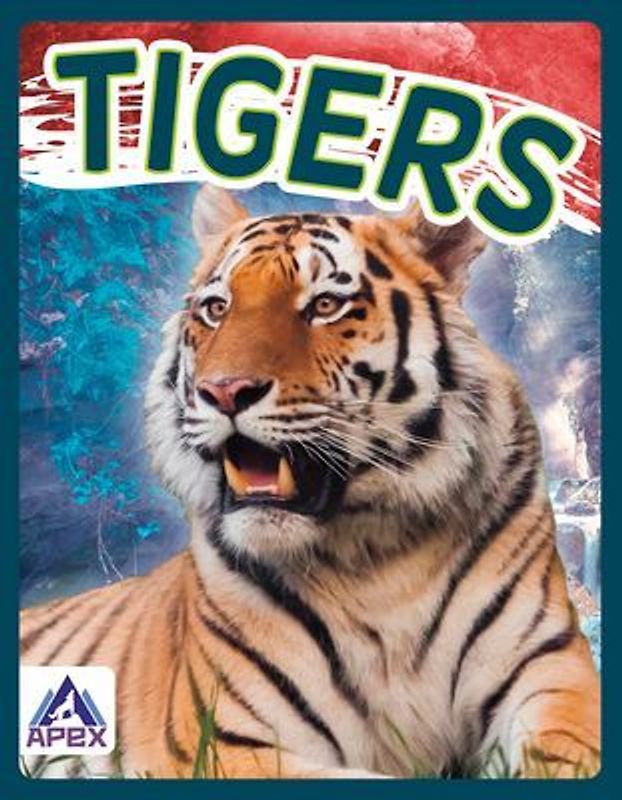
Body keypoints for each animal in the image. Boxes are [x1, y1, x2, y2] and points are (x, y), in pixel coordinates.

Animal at [21, 184, 600, 779]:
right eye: (217, 309)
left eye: (325, 305)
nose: (223, 391)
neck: (377, 559)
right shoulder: (228, 738)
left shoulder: (552, 670)